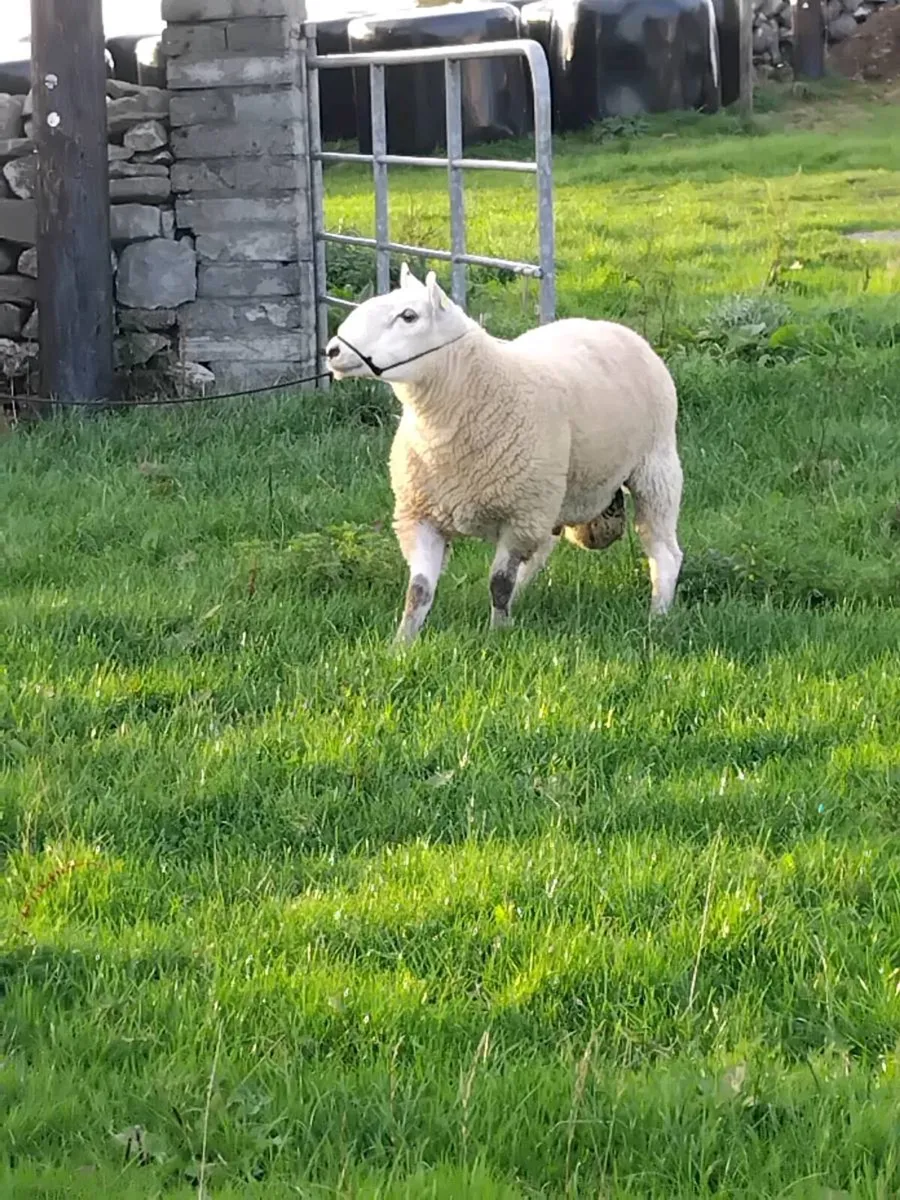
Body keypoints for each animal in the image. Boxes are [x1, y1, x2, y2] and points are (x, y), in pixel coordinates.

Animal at [326, 264, 683, 644]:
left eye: (409, 316)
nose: (332, 351)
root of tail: (607, 325)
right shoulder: (419, 516)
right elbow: (419, 590)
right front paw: (402, 643)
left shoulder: (519, 517)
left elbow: (499, 583)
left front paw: (497, 634)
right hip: (555, 494)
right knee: (541, 552)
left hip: (655, 467)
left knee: (664, 551)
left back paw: (658, 615)